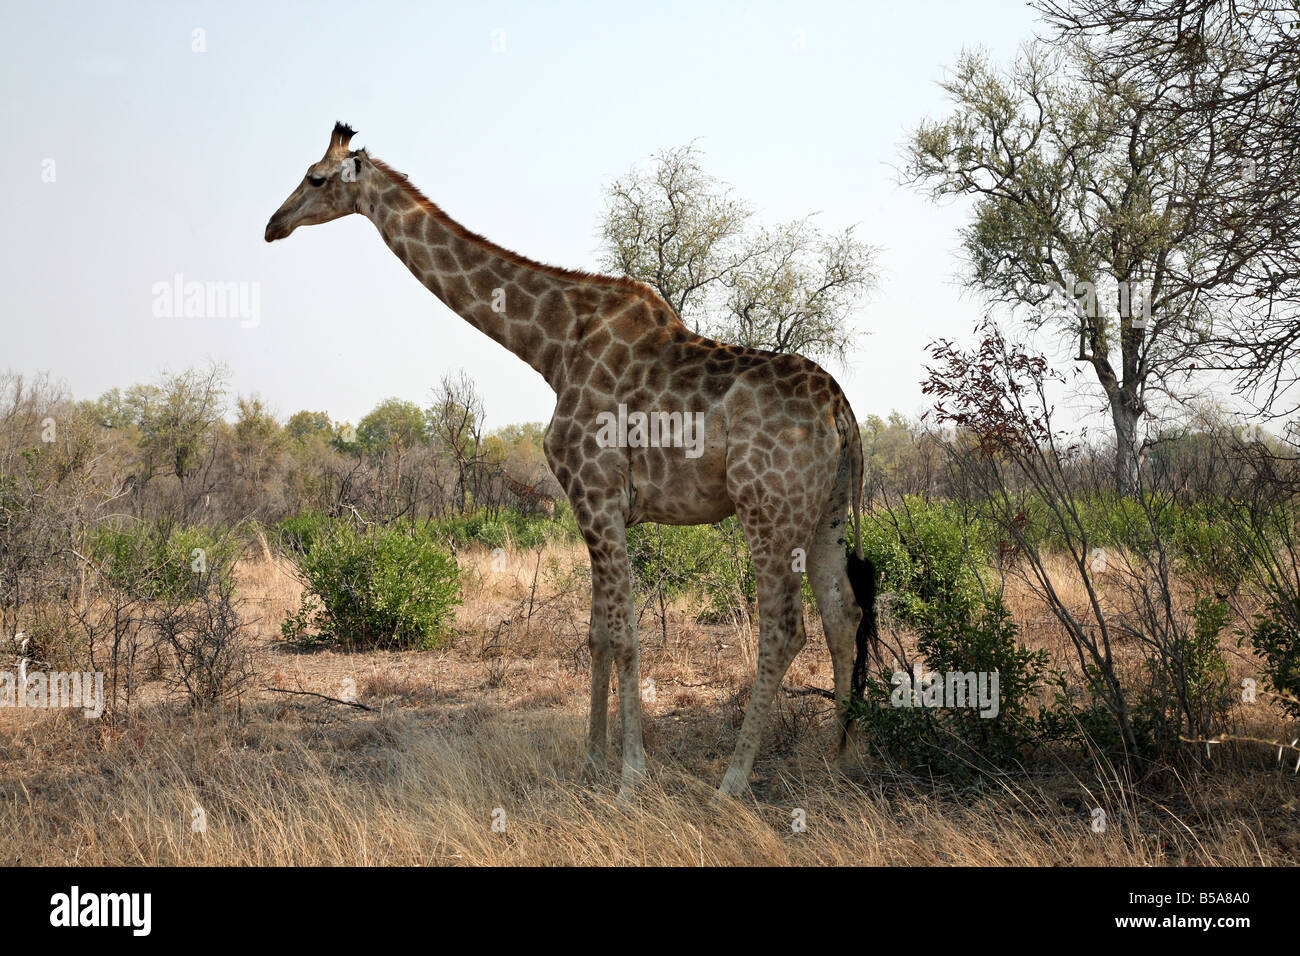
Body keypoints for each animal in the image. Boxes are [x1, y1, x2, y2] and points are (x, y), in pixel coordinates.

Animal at [263, 127, 878, 801]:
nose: (273, 225)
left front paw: (631, 775)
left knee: (787, 626)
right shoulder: (596, 506)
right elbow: (598, 633)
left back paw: (733, 782)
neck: (552, 345)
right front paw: (591, 763)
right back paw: (835, 761)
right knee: (843, 612)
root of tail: (842, 413)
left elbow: (627, 631)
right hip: (827, 510)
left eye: (316, 178)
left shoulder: (598, 493)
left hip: (767, 507)